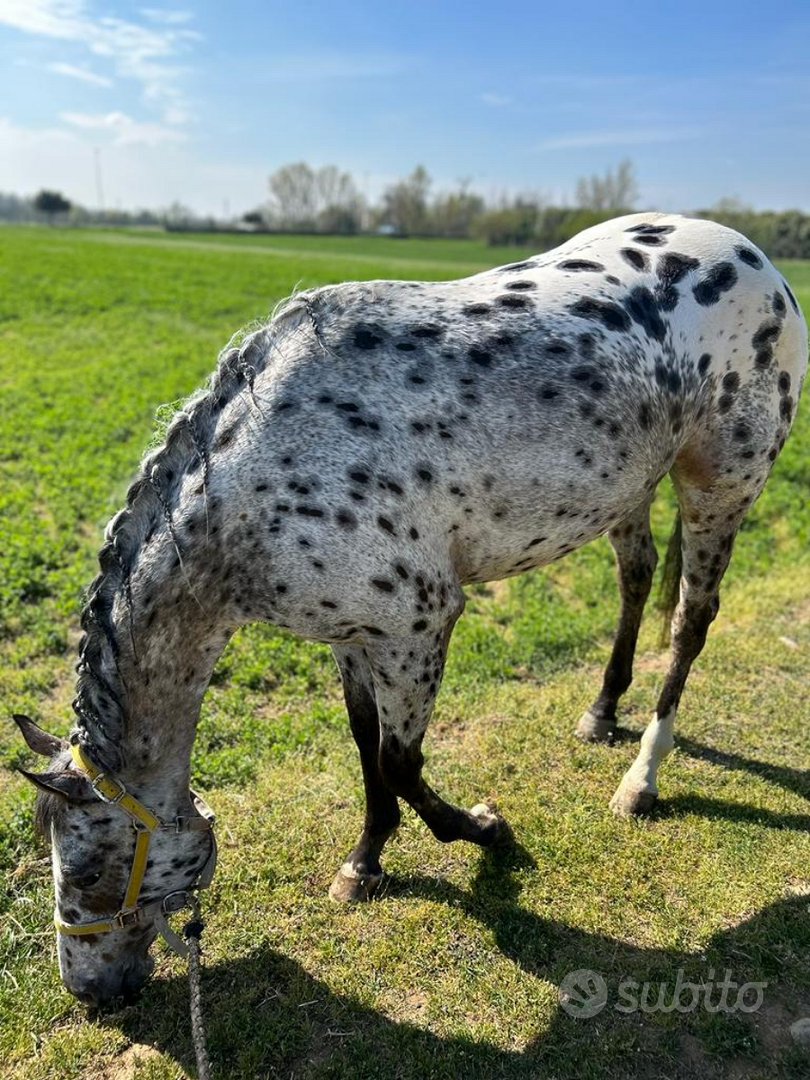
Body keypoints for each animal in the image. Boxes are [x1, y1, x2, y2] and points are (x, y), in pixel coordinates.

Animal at [13, 213, 807, 1007]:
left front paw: (486, 831)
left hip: (720, 489)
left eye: (90, 869)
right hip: (628, 489)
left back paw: (641, 778)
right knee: (636, 578)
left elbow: (399, 762)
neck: (262, 489)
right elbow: (366, 745)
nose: (87, 990)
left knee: (691, 620)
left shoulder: (418, 625)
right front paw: (365, 862)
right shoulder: (350, 635)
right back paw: (601, 712)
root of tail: (752, 257)